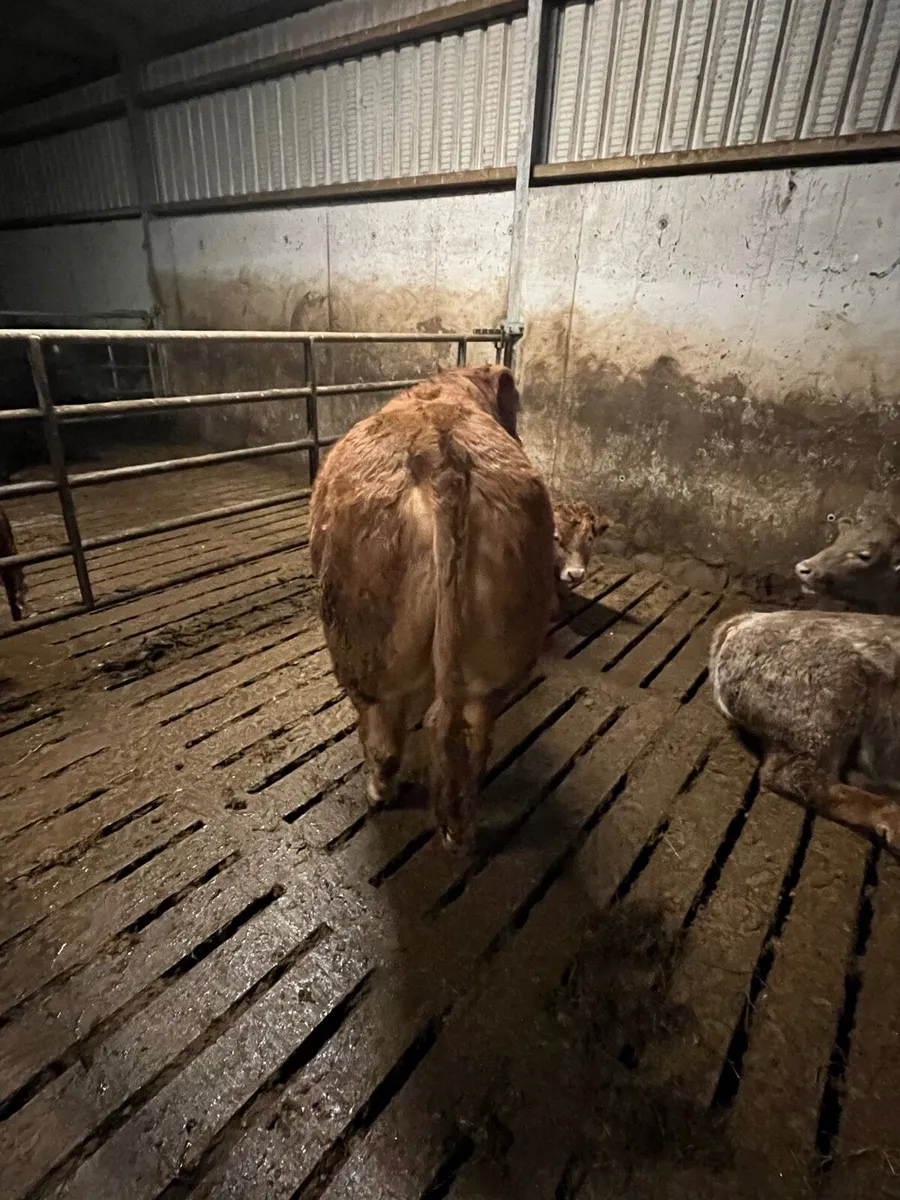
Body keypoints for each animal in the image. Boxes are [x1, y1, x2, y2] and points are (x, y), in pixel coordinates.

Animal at [309, 364, 556, 848]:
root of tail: (439, 457)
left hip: (363, 650)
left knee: (385, 738)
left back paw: (378, 793)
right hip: (497, 657)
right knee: (473, 738)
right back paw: (461, 826)